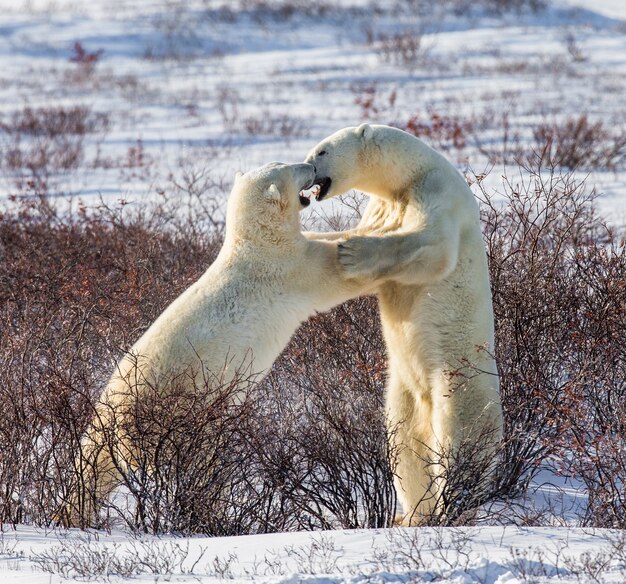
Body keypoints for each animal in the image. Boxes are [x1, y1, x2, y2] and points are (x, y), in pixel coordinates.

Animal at [66, 162, 372, 528]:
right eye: (290, 168)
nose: (311, 165)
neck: (257, 242)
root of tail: (106, 411)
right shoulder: (288, 270)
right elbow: (333, 272)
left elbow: (319, 238)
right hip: (169, 410)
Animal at [304, 124, 502, 524]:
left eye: (322, 151)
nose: (307, 167)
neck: (409, 174)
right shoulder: (383, 205)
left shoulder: (436, 192)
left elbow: (430, 245)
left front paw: (353, 252)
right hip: (403, 391)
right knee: (405, 447)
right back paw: (412, 515)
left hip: (458, 380)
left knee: (459, 443)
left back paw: (451, 507)